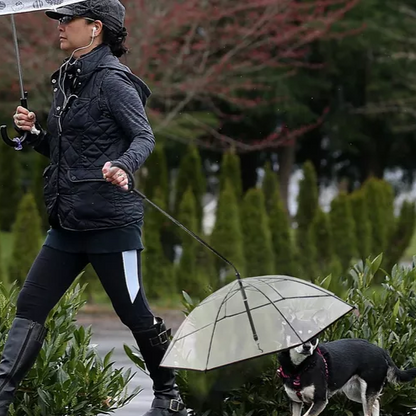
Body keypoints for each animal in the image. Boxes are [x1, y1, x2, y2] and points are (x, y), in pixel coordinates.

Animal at [278, 338, 416, 416]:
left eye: (313, 338)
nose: (307, 347)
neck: (298, 368)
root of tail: (382, 351)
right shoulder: (295, 401)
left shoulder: (320, 401)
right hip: (355, 393)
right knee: (376, 403)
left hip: (368, 390)